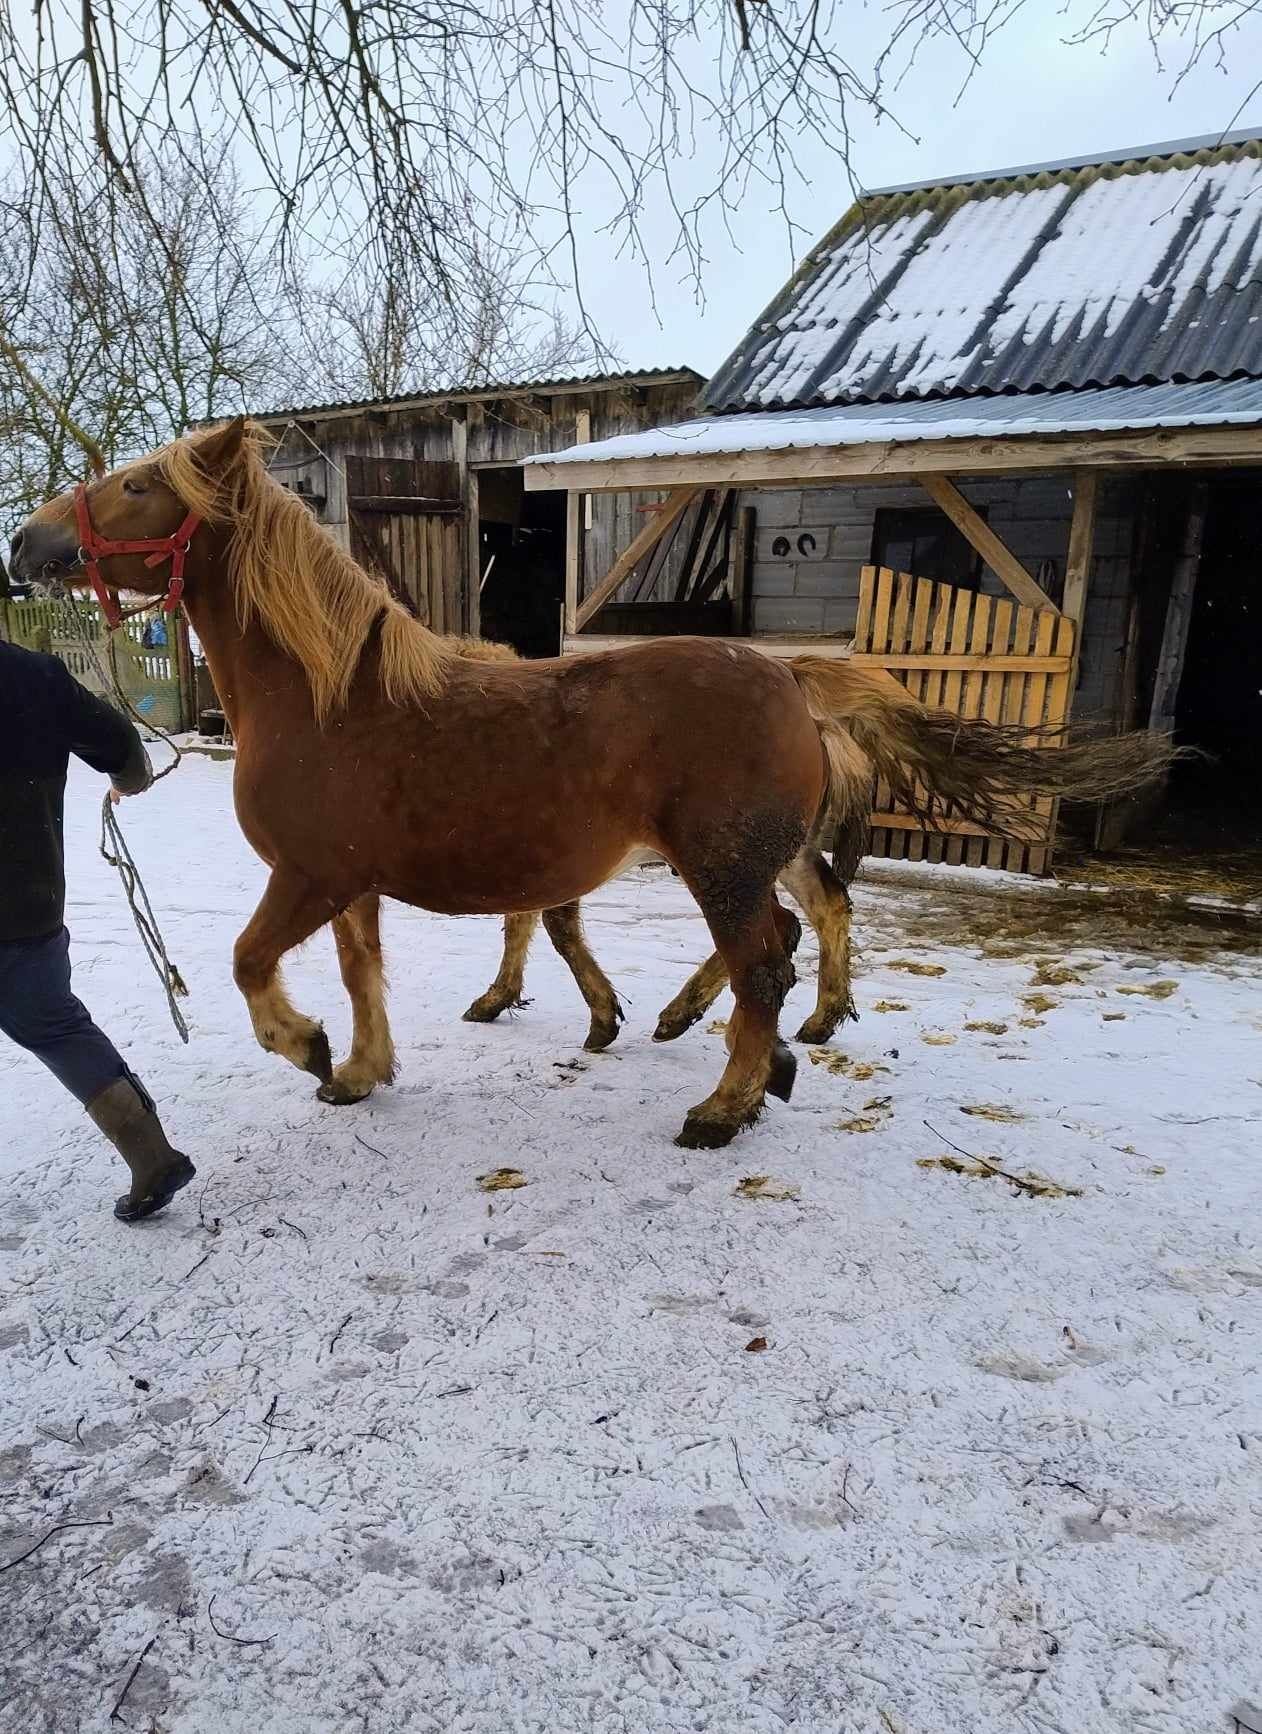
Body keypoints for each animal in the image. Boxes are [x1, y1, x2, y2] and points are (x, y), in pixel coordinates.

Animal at [9, 419, 1171, 1151]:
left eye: (139, 484)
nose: (26, 540)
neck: (329, 696)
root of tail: (790, 678)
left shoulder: (308, 877)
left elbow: (252, 966)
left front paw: (307, 1050)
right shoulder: (350, 887)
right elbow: (362, 973)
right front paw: (360, 1069)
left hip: (723, 867)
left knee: (765, 967)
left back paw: (724, 1104)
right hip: (744, 865)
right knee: (786, 945)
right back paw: (756, 1064)